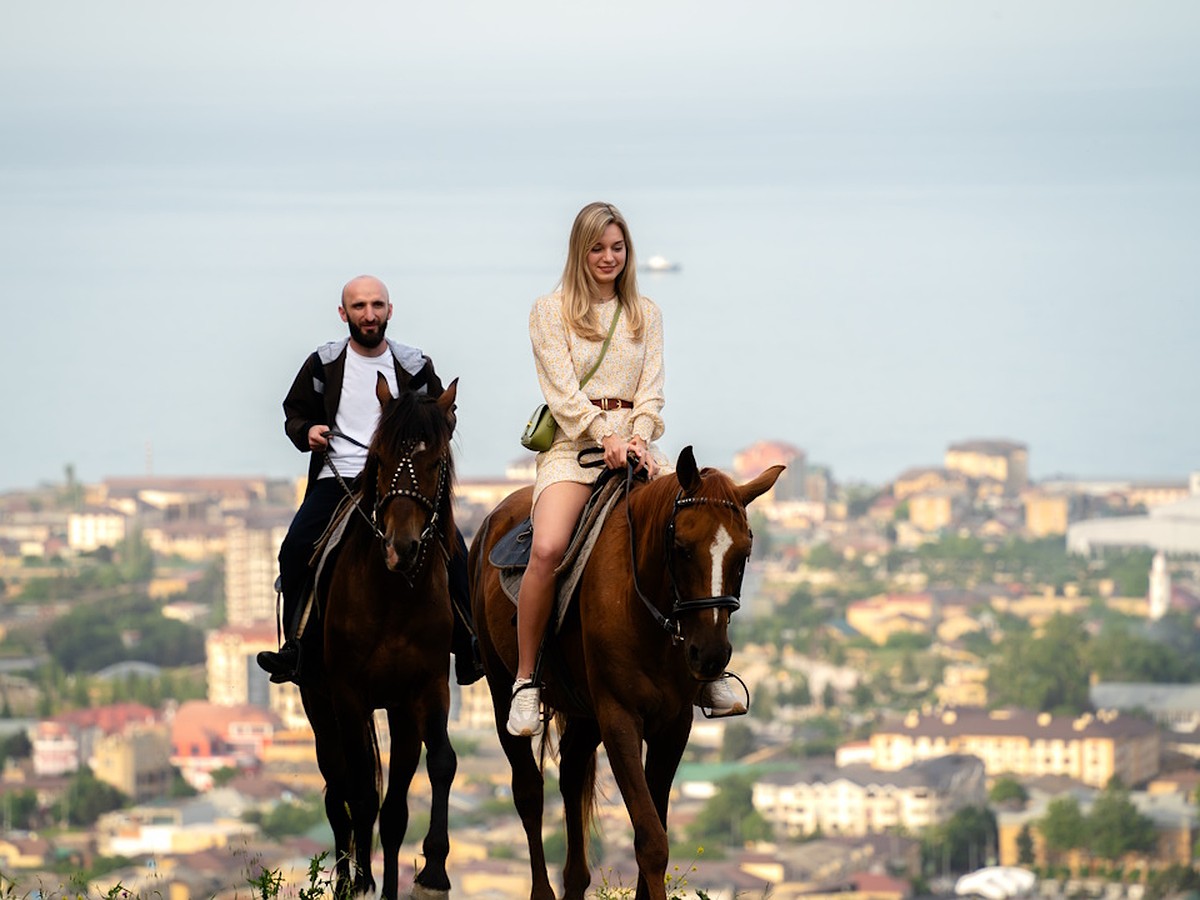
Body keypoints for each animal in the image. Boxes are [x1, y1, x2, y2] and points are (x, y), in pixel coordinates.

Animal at [302, 374, 460, 900]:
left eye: (436, 462)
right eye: (382, 457)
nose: (401, 548)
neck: (394, 595)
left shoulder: (422, 692)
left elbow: (433, 771)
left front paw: (432, 874)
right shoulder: (349, 696)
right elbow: (362, 797)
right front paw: (360, 882)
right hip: (319, 707)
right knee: (339, 795)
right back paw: (344, 878)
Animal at [468, 448, 787, 900]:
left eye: (742, 553)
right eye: (682, 548)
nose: (710, 655)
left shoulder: (673, 725)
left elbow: (655, 827)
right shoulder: (620, 719)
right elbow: (651, 840)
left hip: (584, 713)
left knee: (571, 776)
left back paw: (575, 881)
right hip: (500, 692)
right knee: (529, 791)